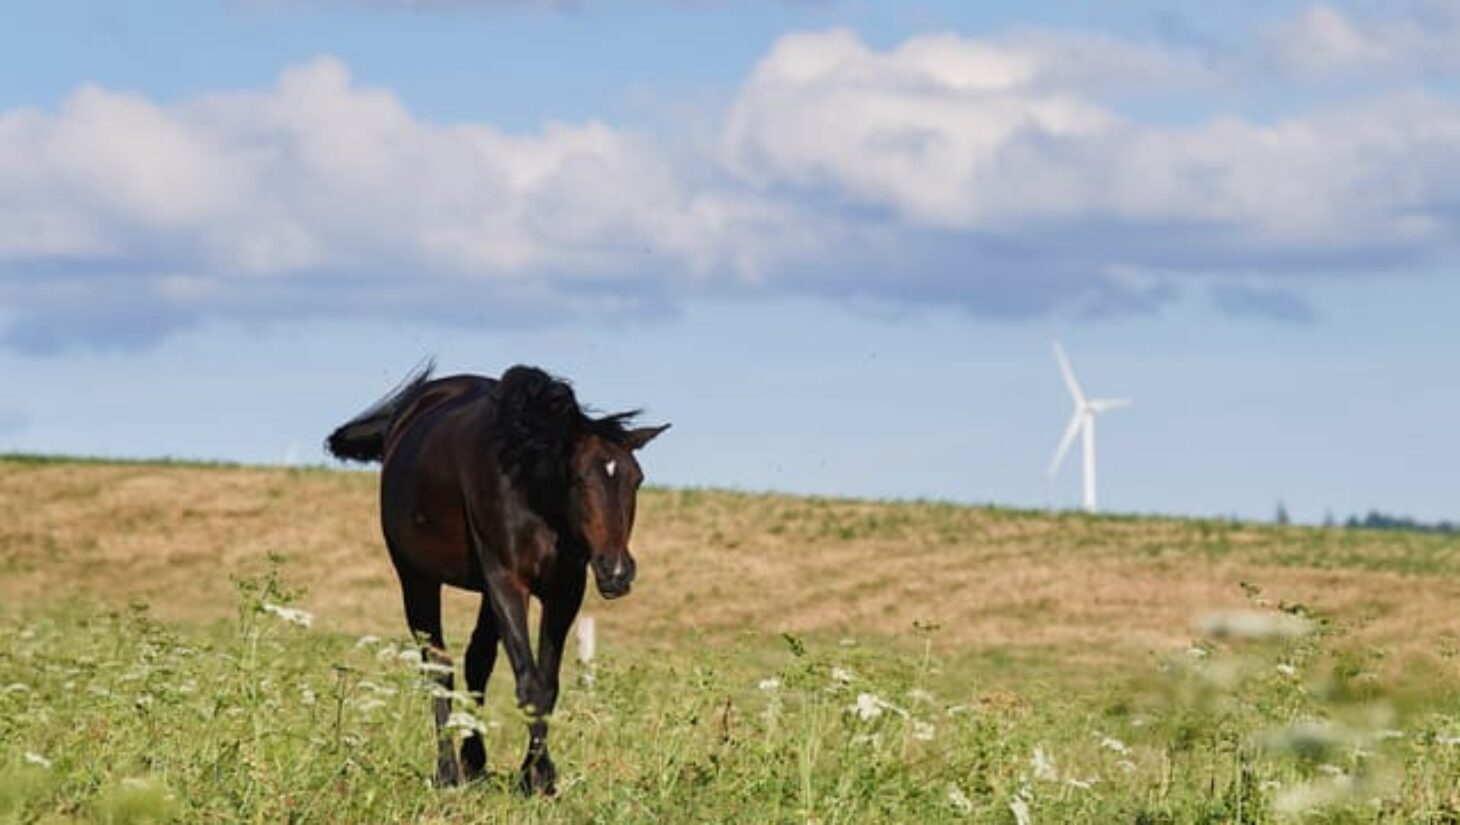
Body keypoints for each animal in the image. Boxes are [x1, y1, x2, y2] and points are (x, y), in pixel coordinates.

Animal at [325, 361, 668, 794]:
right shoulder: (507, 581)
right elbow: (529, 683)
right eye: (577, 477)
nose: (616, 570)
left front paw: (533, 775)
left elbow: (547, 684)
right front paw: (541, 776)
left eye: (636, 479)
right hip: (417, 579)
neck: (529, 487)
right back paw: (447, 771)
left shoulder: (563, 591)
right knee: (438, 666)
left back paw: (474, 761)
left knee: (477, 661)